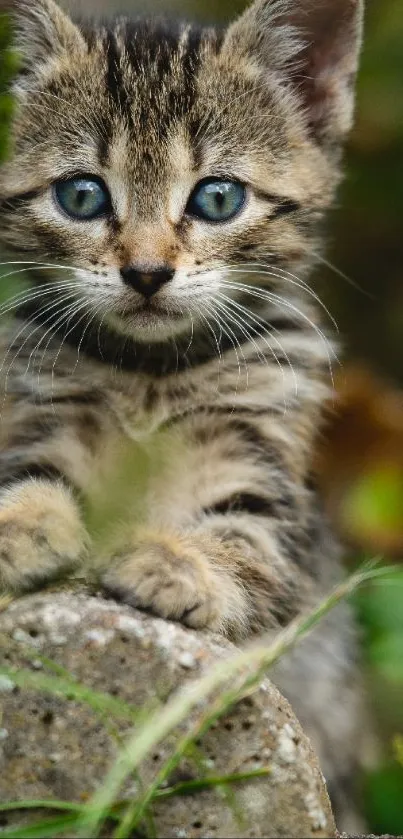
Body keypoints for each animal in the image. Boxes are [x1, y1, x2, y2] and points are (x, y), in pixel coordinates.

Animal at [0, 0, 366, 828]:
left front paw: (177, 562)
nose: (145, 272)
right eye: (81, 196)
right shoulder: (40, 405)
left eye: (217, 199)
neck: (151, 374)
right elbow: (31, 476)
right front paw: (18, 526)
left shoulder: (264, 470)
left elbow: (245, 544)